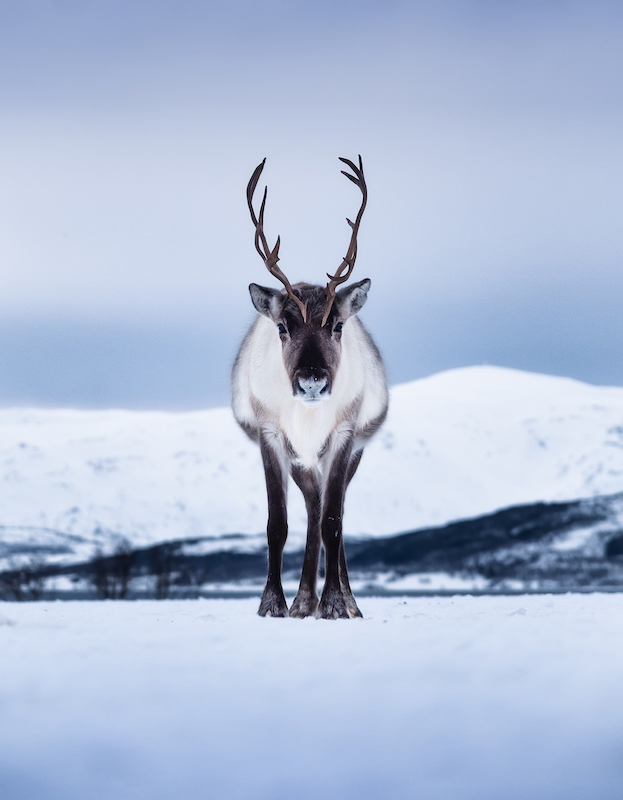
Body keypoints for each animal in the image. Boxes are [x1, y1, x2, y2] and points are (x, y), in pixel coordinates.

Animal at [233, 156, 390, 620]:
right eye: (282, 327)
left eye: (337, 325)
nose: (312, 380)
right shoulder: (271, 435)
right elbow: (278, 523)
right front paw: (273, 603)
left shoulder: (343, 435)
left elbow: (333, 522)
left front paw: (337, 603)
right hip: (302, 462)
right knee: (312, 509)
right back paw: (304, 600)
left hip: (346, 453)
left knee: (330, 513)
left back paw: (340, 600)